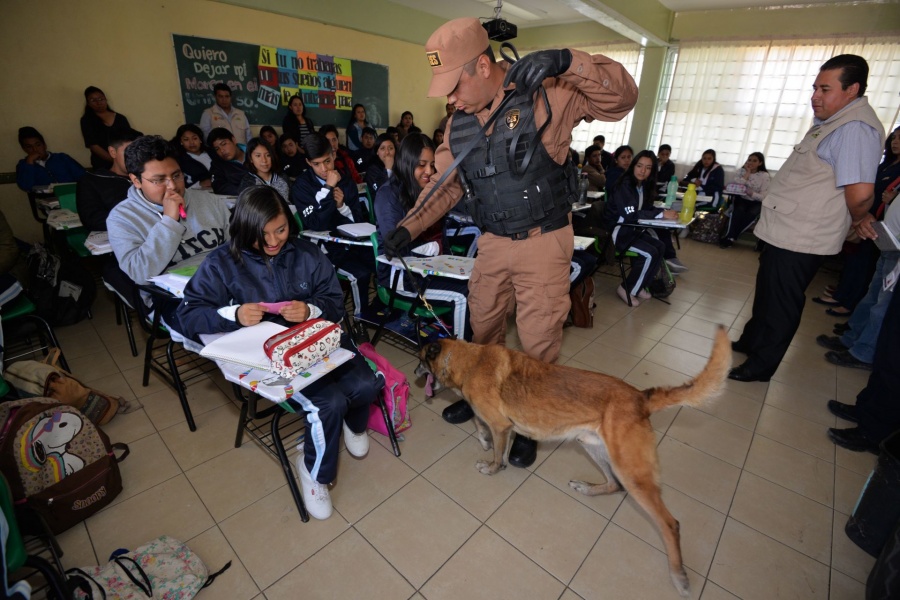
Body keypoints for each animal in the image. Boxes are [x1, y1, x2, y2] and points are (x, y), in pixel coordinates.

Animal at [418, 326, 736, 596]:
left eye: (420, 359)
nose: (414, 374)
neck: (468, 359)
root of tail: (640, 398)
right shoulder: (494, 421)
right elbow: (477, 422)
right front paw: (482, 438)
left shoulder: (501, 425)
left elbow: (497, 451)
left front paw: (492, 466)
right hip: (595, 448)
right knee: (614, 485)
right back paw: (588, 489)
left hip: (633, 473)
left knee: (669, 523)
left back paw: (678, 574)